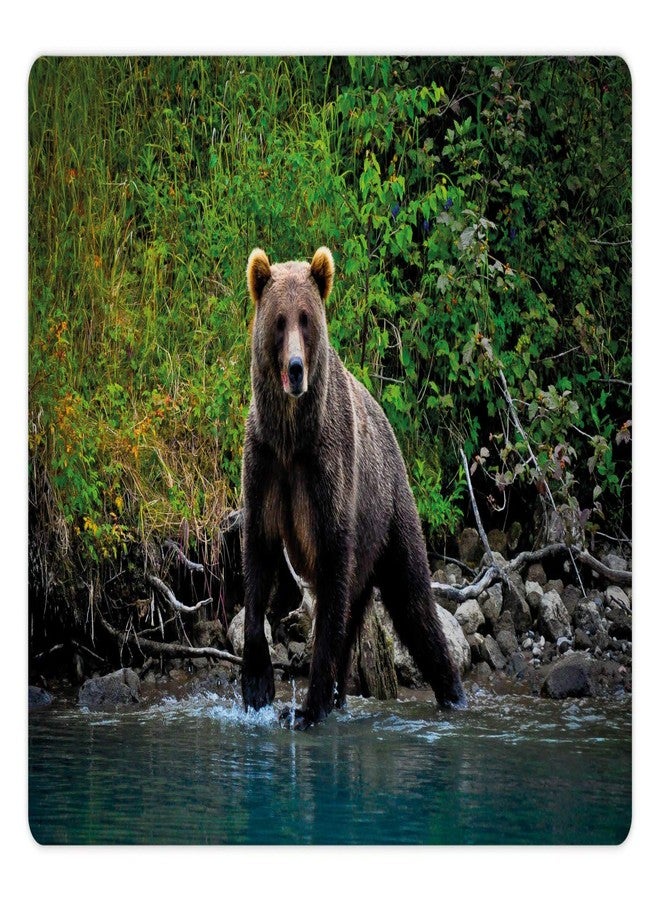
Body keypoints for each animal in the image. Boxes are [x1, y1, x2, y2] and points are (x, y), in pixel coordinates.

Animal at [241, 246, 466, 728]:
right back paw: (340, 695)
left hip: (388, 512)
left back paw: (452, 694)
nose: (295, 370)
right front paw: (257, 686)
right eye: (279, 321)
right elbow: (258, 554)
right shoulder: (265, 463)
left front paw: (307, 706)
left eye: (306, 318)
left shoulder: (328, 470)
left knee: (414, 602)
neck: (292, 435)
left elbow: (330, 578)